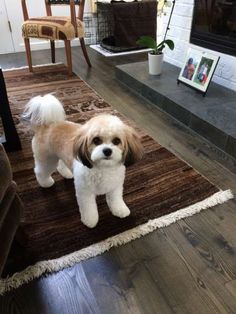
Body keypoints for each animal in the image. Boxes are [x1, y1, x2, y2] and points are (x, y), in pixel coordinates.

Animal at [24, 94, 143, 227]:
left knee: (60, 164)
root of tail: (47, 124)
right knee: (41, 171)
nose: (107, 150)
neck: (103, 168)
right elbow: (88, 208)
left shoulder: (115, 186)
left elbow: (116, 199)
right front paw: (90, 221)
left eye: (116, 141)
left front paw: (120, 210)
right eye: (96, 140)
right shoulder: (85, 192)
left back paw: (66, 173)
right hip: (47, 159)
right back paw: (45, 183)